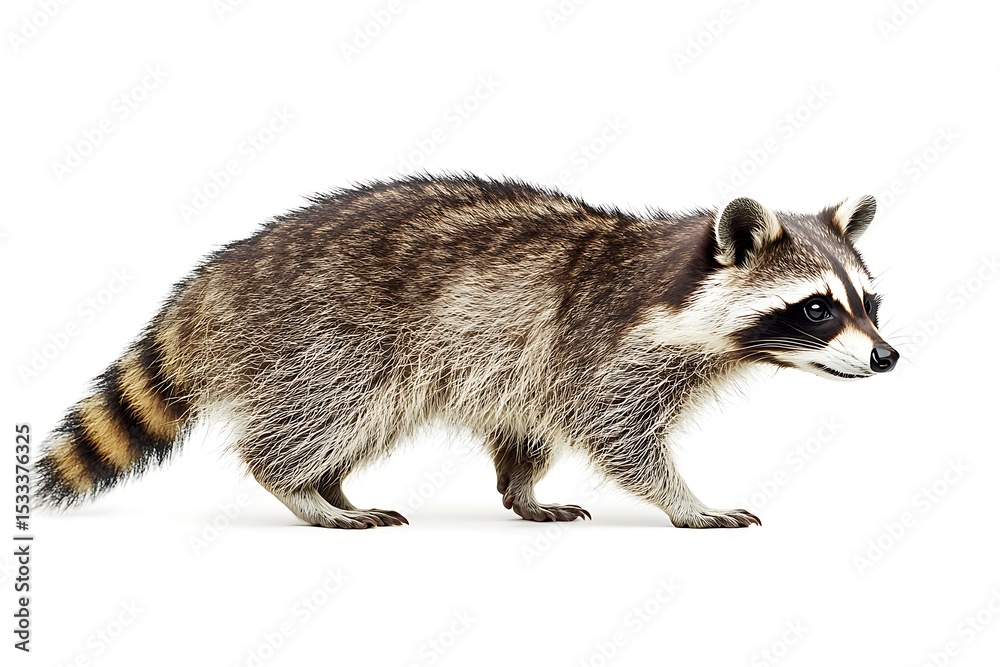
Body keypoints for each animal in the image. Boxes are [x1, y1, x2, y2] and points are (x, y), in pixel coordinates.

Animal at [35, 175, 898, 529]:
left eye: (871, 302)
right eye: (816, 308)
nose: (887, 358)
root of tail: (221, 271)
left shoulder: (533, 368)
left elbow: (530, 431)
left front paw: (522, 488)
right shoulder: (596, 347)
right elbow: (616, 432)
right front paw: (687, 500)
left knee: (357, 419)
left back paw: (331, 482)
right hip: (326, 331)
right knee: (324, 411)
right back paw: (299, 485)